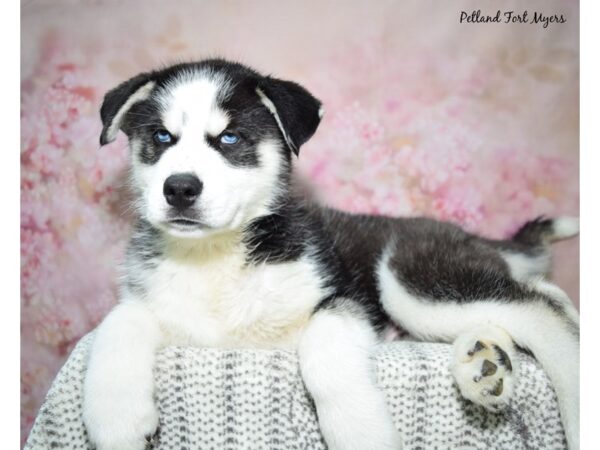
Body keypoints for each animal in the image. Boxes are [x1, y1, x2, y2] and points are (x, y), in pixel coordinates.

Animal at [82, 59, 580, 450]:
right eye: (162, 137)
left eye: (230, 139)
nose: (180, 188)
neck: (215, 257)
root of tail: (462, 233)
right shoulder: (160, 304)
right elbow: (117, 321)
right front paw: (117, 418)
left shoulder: (343, 297)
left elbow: (322, 344)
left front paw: (360, 430)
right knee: (533, 295)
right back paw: (483, 363)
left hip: (407, 277)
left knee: (543, 310)